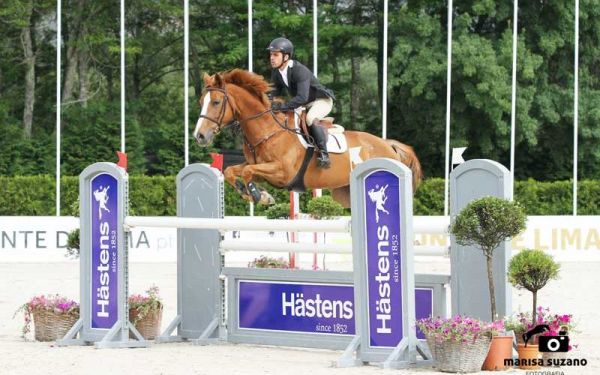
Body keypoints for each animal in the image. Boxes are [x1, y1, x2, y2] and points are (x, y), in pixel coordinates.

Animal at [193, 69, 422, 207]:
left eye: (215, 102)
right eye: (201, 102)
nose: (199, 136)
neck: (267, 130)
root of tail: (387, 145)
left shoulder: (282, 172)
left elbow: (248, 172)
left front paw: (260, 196)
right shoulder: (260, 169)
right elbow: (232, 171)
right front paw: (253, 194)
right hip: (344, 193)